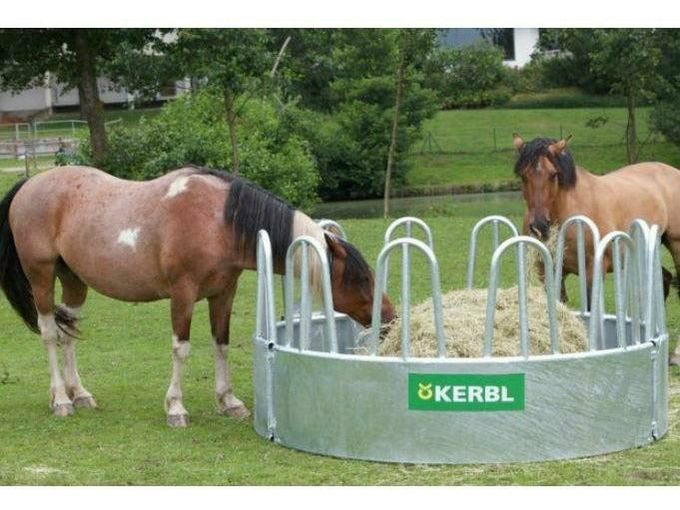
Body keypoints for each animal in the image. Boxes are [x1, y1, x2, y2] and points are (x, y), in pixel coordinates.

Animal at [0, 165, 395, 427]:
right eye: (361, 277)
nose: (390, 316)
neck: (218, 220)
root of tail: (30, 183)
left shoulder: (223, 294)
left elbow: (221, 345)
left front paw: (229, 401)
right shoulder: (183, 294)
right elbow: (182, 349)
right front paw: (176, 407)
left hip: (74, 282)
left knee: (68, 335)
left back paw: (80, 394)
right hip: (41, 278)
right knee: (50, 334)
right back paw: (60, 399)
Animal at [513, 134, 680, 365]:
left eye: (553, 174)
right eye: (522, 175)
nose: (539, 226)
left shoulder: (593, 270)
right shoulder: (548, 271)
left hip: (676, 244)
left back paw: (676, 354)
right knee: (665, 278)